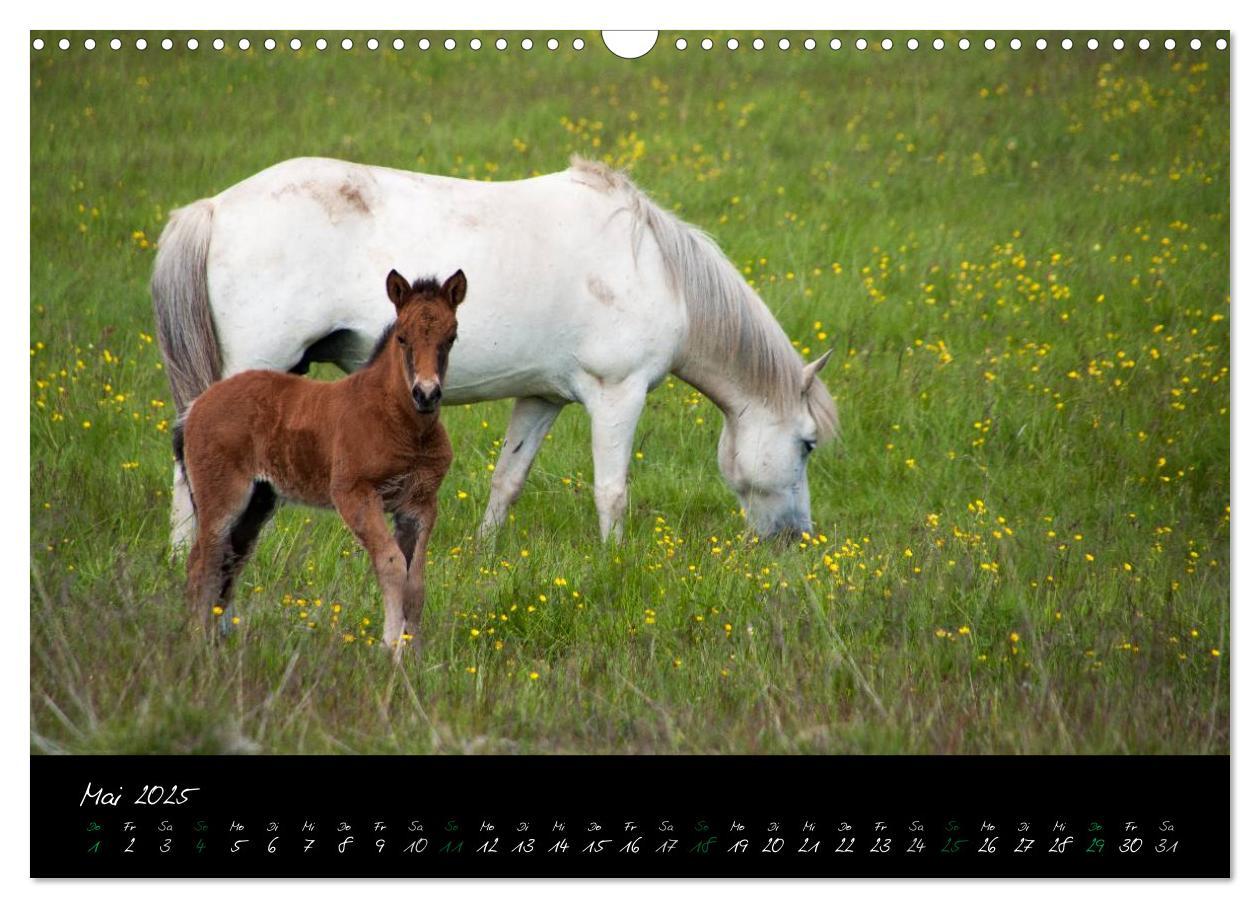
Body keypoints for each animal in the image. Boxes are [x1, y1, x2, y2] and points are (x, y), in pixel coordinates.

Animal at [152, 156, 831, 546]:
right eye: (807, 445)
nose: (797, 539)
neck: (651, 264)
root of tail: (213, 208)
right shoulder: (619, 394)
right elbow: (611, 491)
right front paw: (615, 563)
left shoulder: (541, 398)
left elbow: (508, 479)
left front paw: (484, 552)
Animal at [175, 265, 466, 654]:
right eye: (403, 338)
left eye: (451, 338)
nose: (427, 394)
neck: (404, 425)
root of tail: (195, 406)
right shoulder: (354, 494)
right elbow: (390, 564)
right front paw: (390, 649)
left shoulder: (419, 504)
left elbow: (415, 579)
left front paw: (415, 654)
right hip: (222, 497)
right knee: (202, 563)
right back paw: (197, 643)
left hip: (258, 501)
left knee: (230, 560)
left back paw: (217, 640)